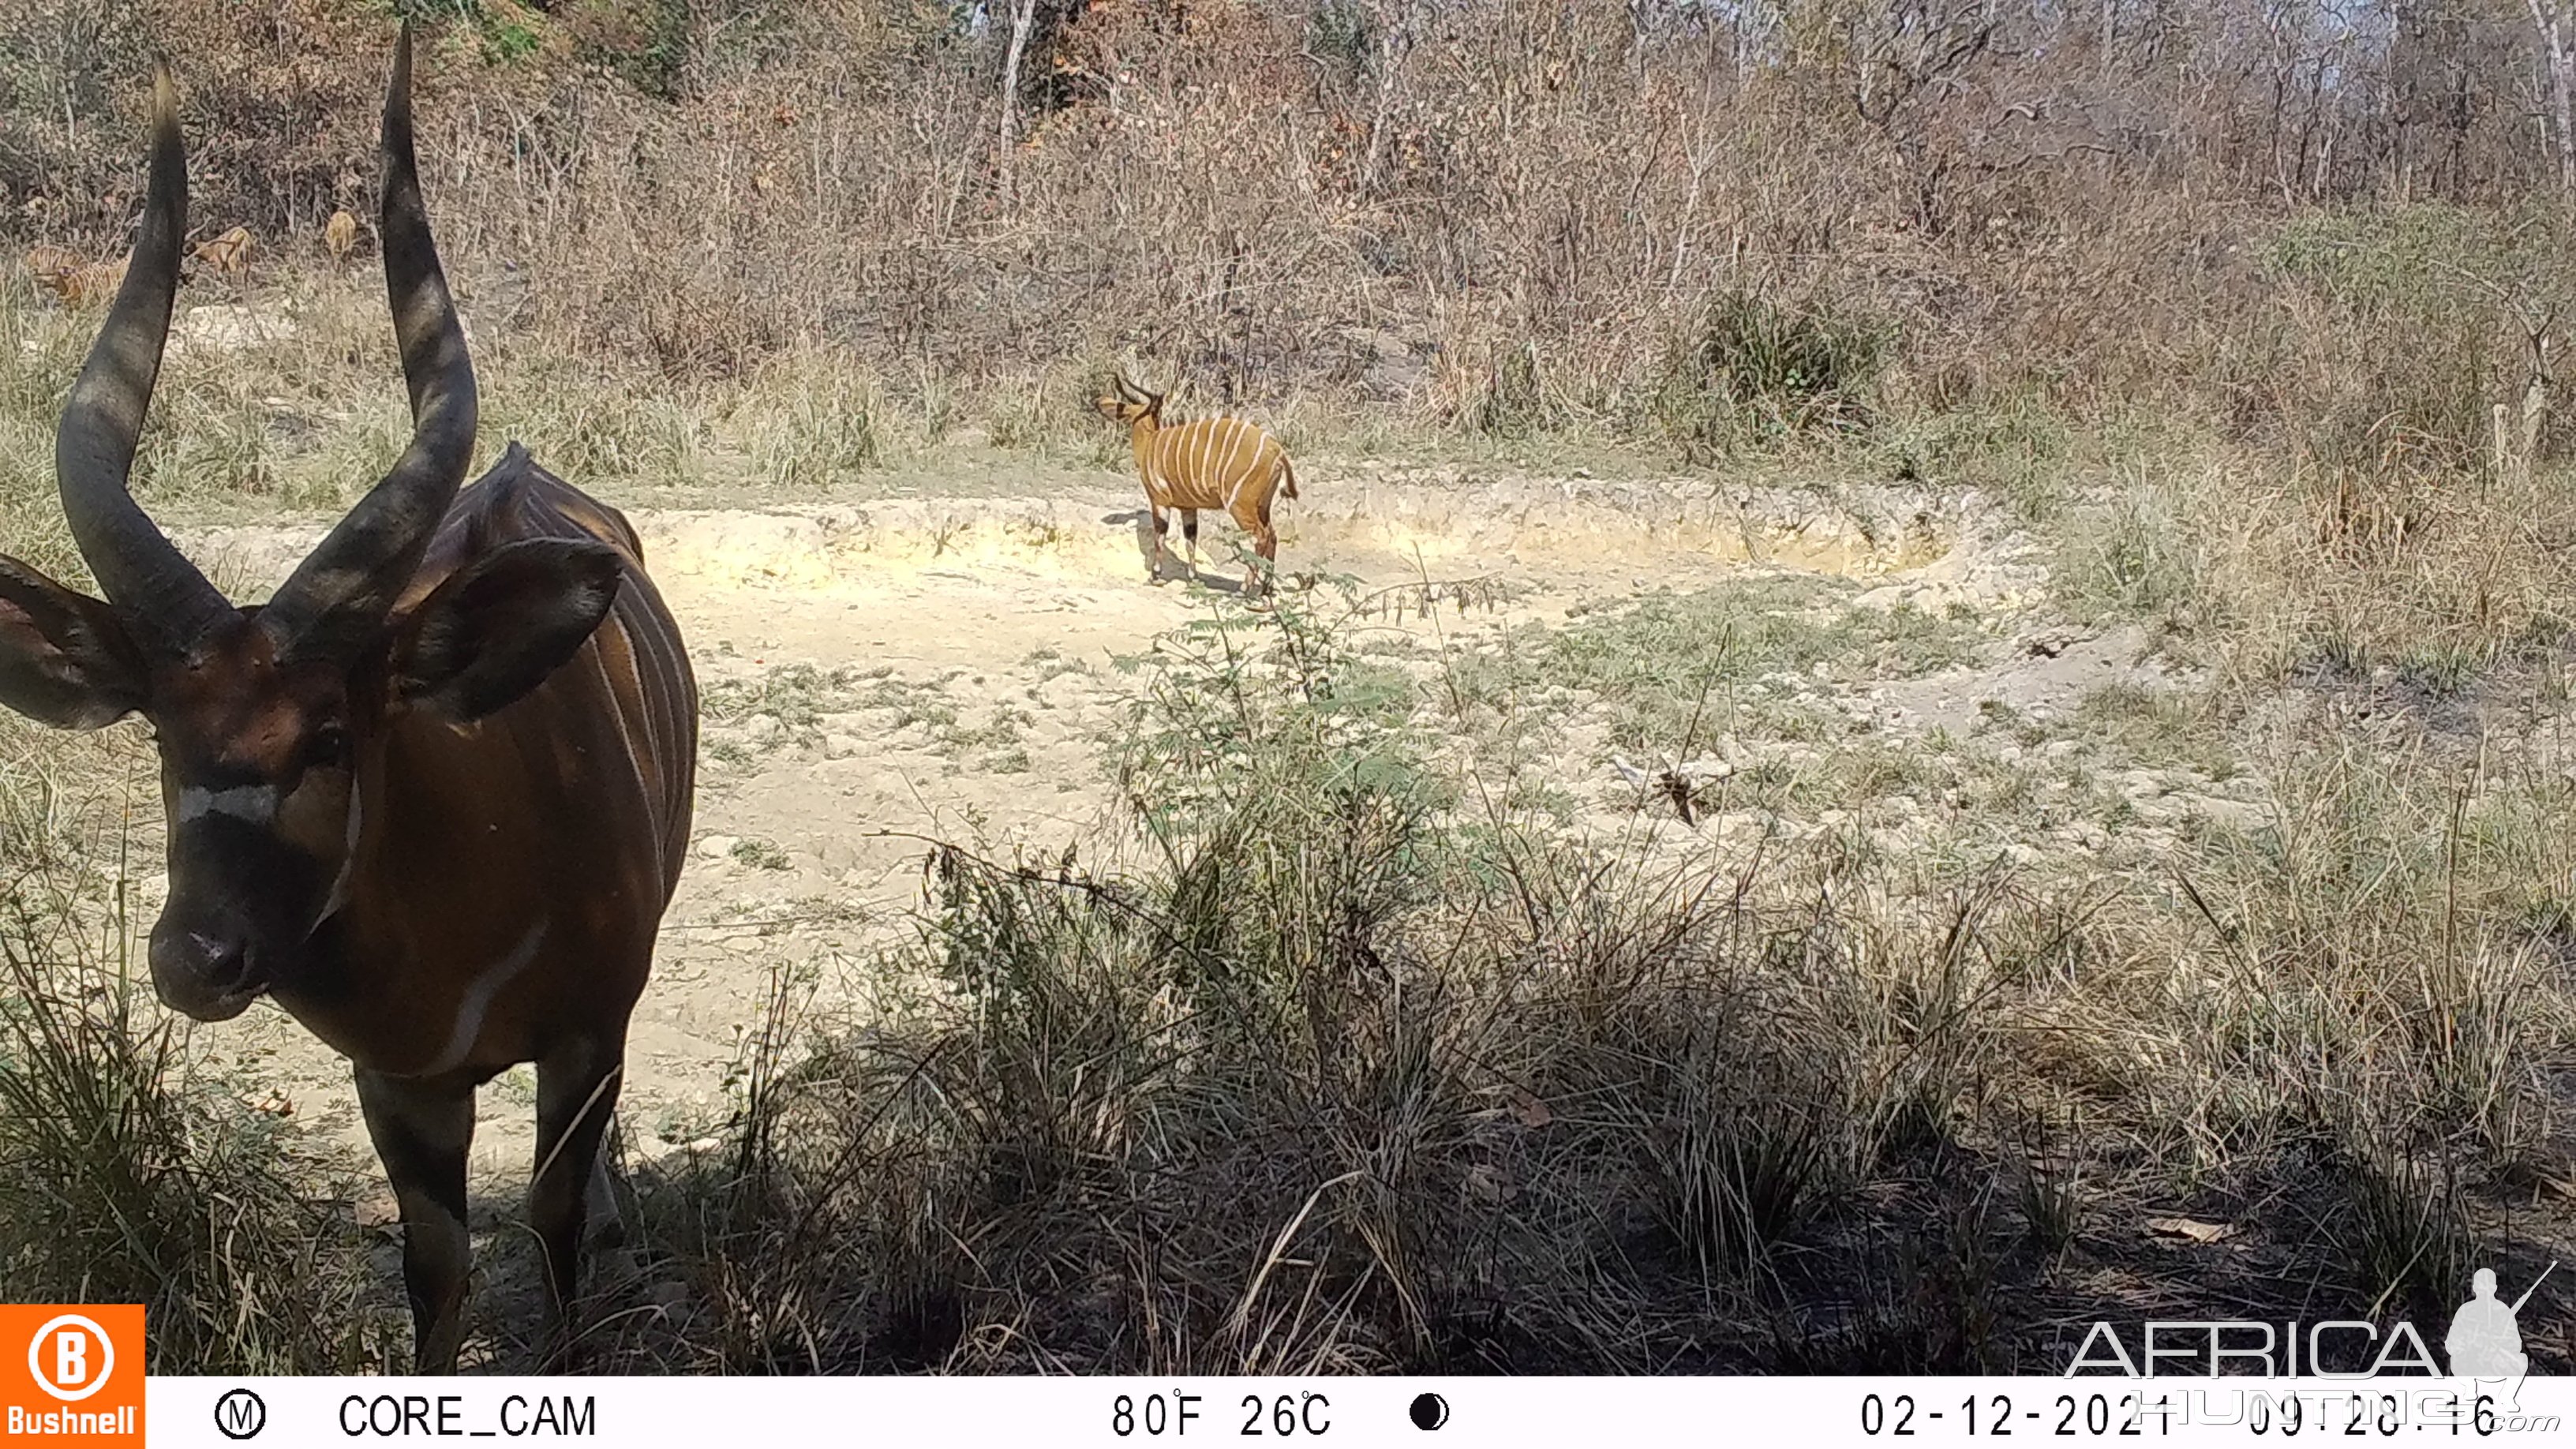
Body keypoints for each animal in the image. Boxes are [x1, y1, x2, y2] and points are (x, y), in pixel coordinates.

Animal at [0, 31, 695, 1361]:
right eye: (163, 739)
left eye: (329, 737)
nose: (194, 958)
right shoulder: (400, 1084)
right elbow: (437, 1267)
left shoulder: (586, 1038)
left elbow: (552, 1228)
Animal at [1091, 379, 1298, 597]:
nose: (1098, 402)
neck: (1150, 442)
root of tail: (1277, 451)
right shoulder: (1188, 507)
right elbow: (1190, 540)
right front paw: (1193, 578)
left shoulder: (1159, 500)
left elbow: (1160, 535)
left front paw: (1156, 576)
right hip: (1262, 506)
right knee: (1273, 535)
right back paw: (1266, 589)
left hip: (1240, 505)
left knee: (1262, 536)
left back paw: (1243, 590)